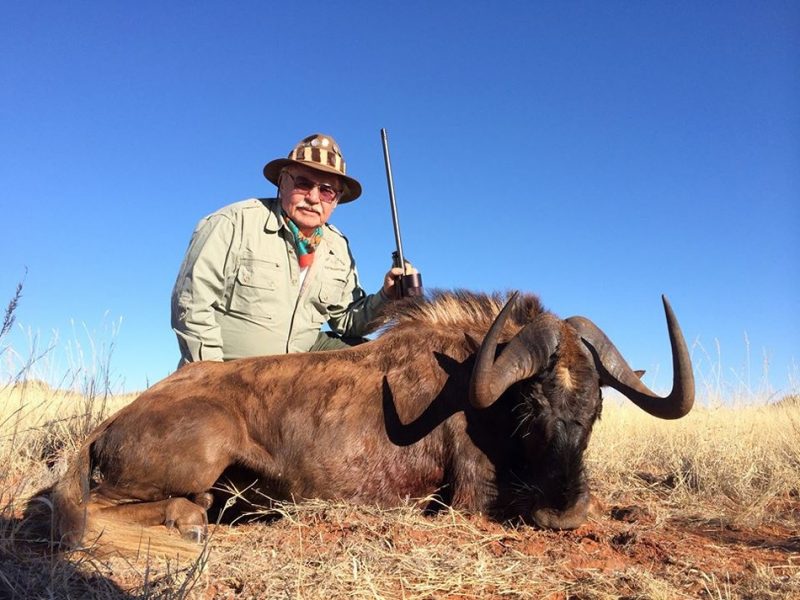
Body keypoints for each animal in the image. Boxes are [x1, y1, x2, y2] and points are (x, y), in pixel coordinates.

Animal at [40, 290, 694, 548]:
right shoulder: (469, 498)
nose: (563, 511)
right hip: (202, 451)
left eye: (595, 409)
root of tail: (106, 426)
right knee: (89, 512)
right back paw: (188, 521)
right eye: (531, 404)